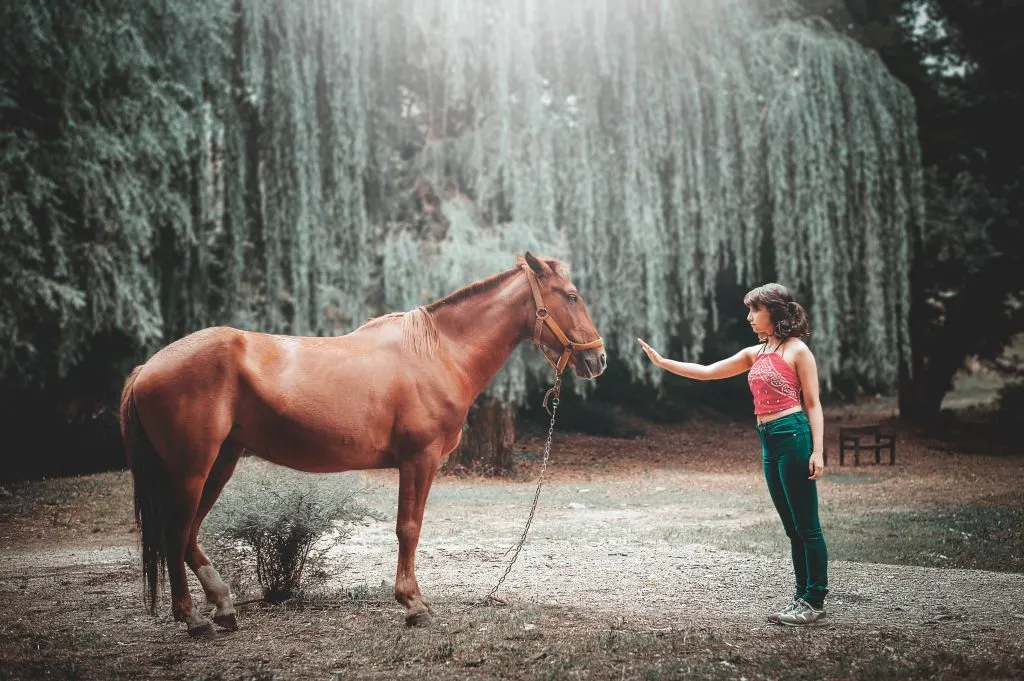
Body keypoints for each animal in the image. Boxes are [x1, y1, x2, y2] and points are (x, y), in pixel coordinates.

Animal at [118, 251, 602, 634]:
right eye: (572, 295)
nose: (598, 359)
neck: (438, 353)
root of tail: (147, 367)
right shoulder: (419, 459)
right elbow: (409, 528)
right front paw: (414, 605)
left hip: (220, 462)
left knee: (188, 533)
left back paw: (222, 606)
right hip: (191, 469)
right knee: (176, 531)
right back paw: (194, 618)